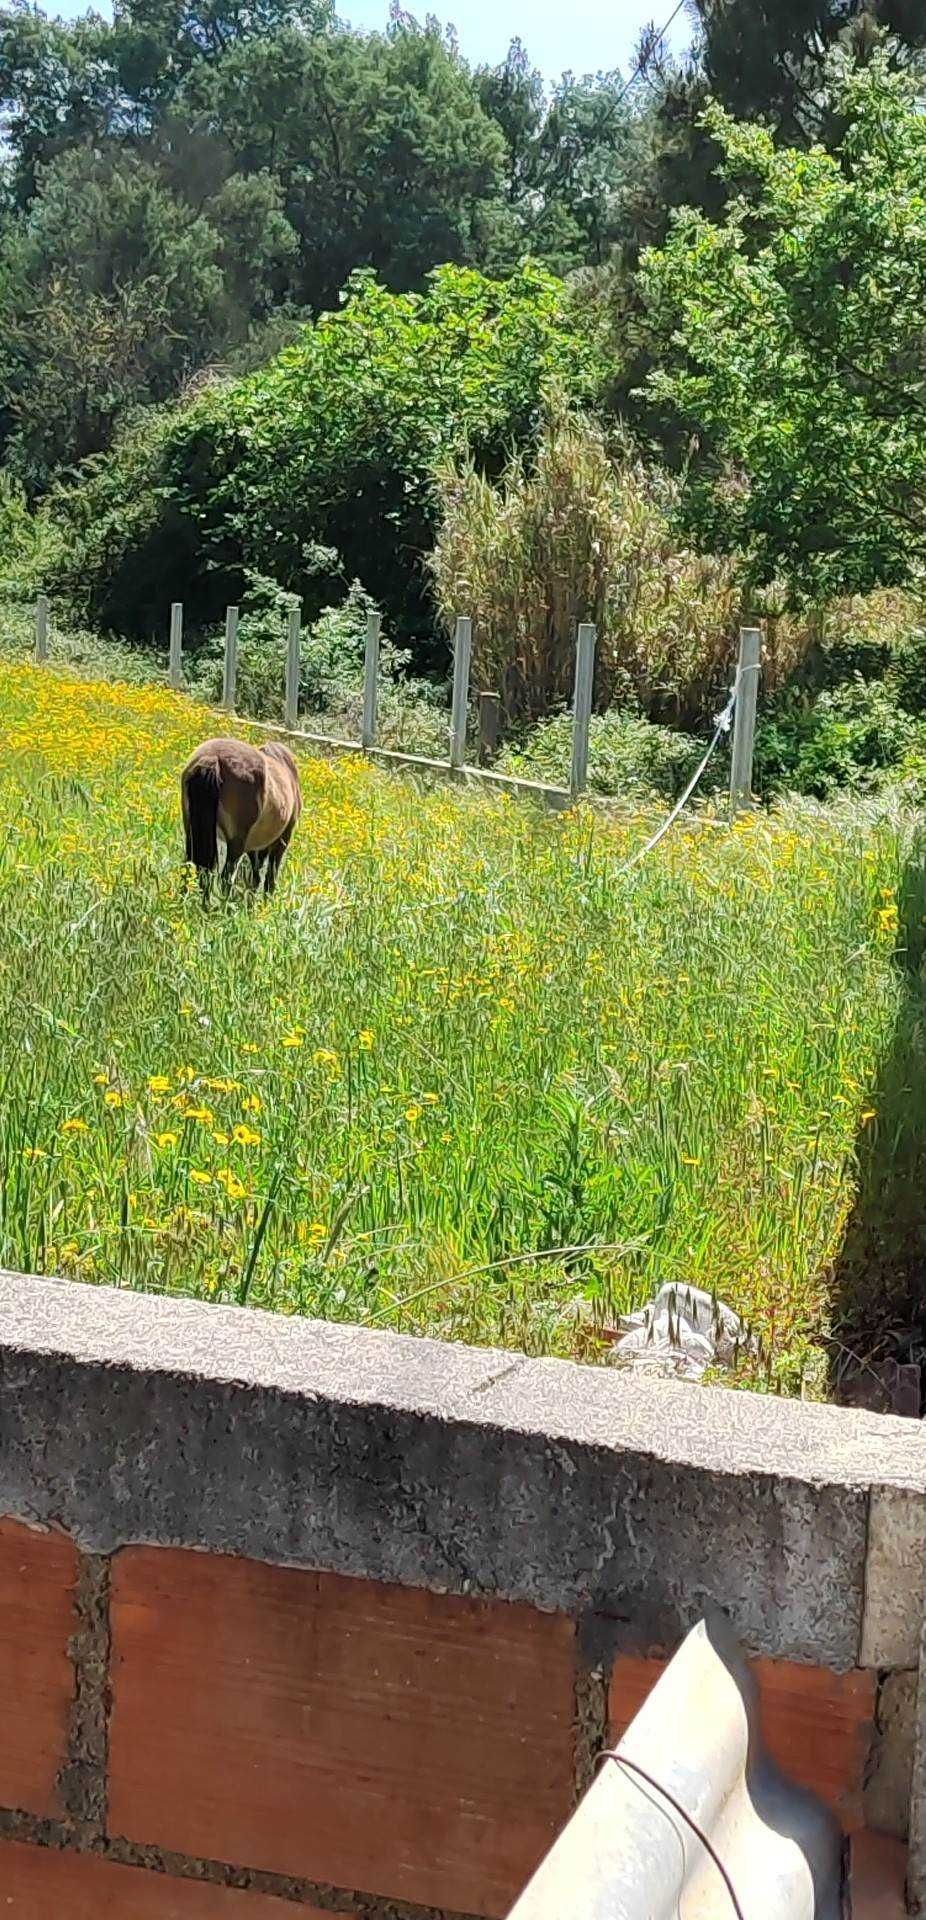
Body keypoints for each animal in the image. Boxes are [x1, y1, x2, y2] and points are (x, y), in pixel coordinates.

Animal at [177, 733, 299, 890]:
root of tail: (212, 758)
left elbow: (256, 875)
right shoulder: (282, 840)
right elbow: (269, 880)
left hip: (191, 831)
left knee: (189, 868)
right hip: (236, 843)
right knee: (226, 878)